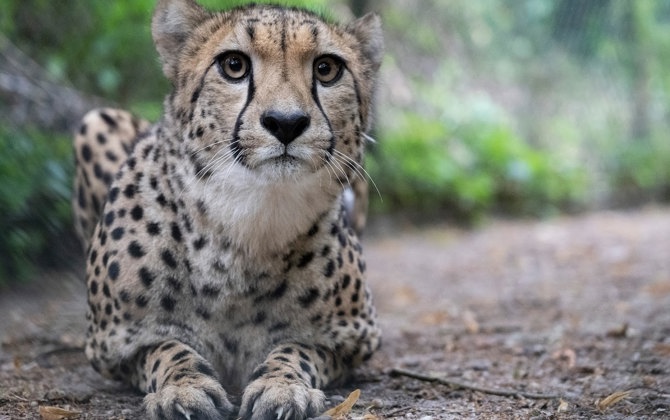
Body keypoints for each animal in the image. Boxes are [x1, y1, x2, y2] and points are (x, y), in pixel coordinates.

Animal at [71, 0, 383, 419]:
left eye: (326, 69)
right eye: (234, 65)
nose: (286, 123)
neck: (248, 220)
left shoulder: (355, 338)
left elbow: (297, 348)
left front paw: (282, 386)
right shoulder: (112, 345)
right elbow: (166, 348)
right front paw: (183, 388)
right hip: (96, 121)